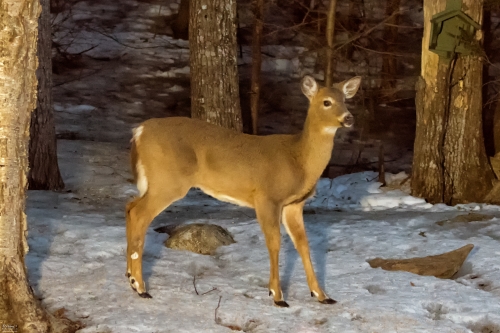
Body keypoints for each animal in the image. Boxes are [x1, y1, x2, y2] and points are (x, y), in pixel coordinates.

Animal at [124, 74, 360, 306]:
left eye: (344, 100)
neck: (298, 159)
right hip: (169, 180)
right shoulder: (267, 197)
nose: (349, 118)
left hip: (157, 182)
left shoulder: (294, 204)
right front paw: (277, 296)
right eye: (326, 102)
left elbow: (303, 244)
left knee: (130, 206)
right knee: (139, 214)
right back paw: (140, 287)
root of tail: (139, 132)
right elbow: (274, 243)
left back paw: (130, 277)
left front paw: (322, 295)